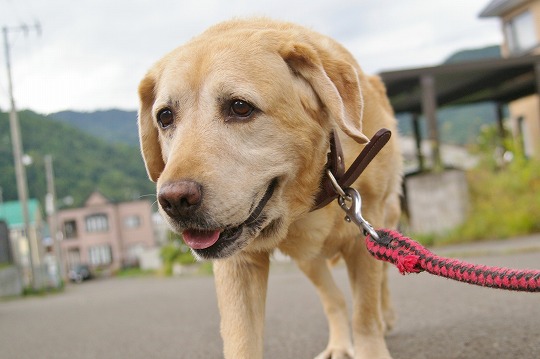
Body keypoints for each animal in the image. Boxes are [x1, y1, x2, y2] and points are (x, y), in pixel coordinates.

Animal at [138, 18, 400, 359]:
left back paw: (387, 318)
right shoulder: (239, 264)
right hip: (308, 258)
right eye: (165, 116)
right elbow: (241, 340)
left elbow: (366, 313)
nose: (174, 200)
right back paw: (339, 345)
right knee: (335, 299)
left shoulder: (363, 237)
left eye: (240, 107)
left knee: (380, 284)